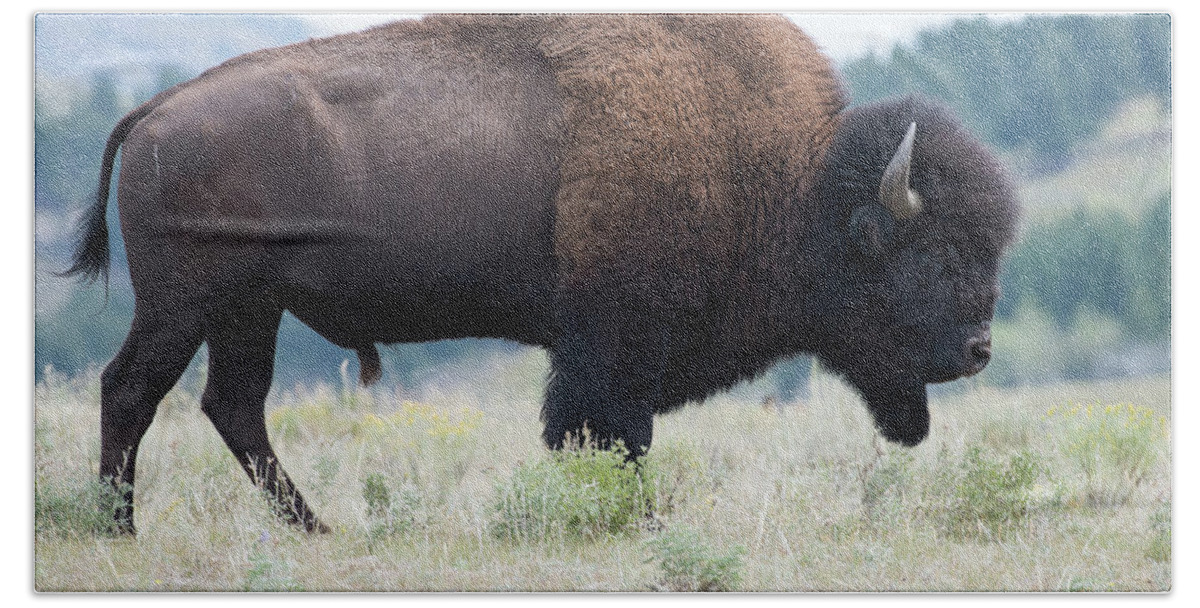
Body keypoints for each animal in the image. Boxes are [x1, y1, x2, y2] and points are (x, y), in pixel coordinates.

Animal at [63, 14, 1022, 534]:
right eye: (930, 255)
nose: (978, 350)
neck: (793, 181)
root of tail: (153, 110)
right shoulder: (612, 344)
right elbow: (608, 435)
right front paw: (635, 522)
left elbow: (594, 436)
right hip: (187, 303)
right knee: (131, 388)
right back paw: (120, 530)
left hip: (249, 310)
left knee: (234, 407)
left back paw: (315, 529)